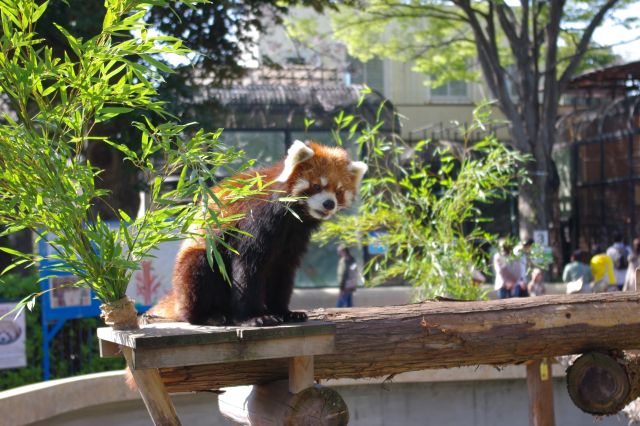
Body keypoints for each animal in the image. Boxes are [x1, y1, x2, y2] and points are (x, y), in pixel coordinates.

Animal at [145, 140, 364, 326]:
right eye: (317, 185)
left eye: (339, 192)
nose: (329, 204)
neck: (292, 216)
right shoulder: (255, 220)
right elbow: (248, 266)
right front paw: (254, 317)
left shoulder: (295, 236)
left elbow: (282, 269)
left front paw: (284, 312)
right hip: (200, 261)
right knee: (201, 267)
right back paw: (209, 316)